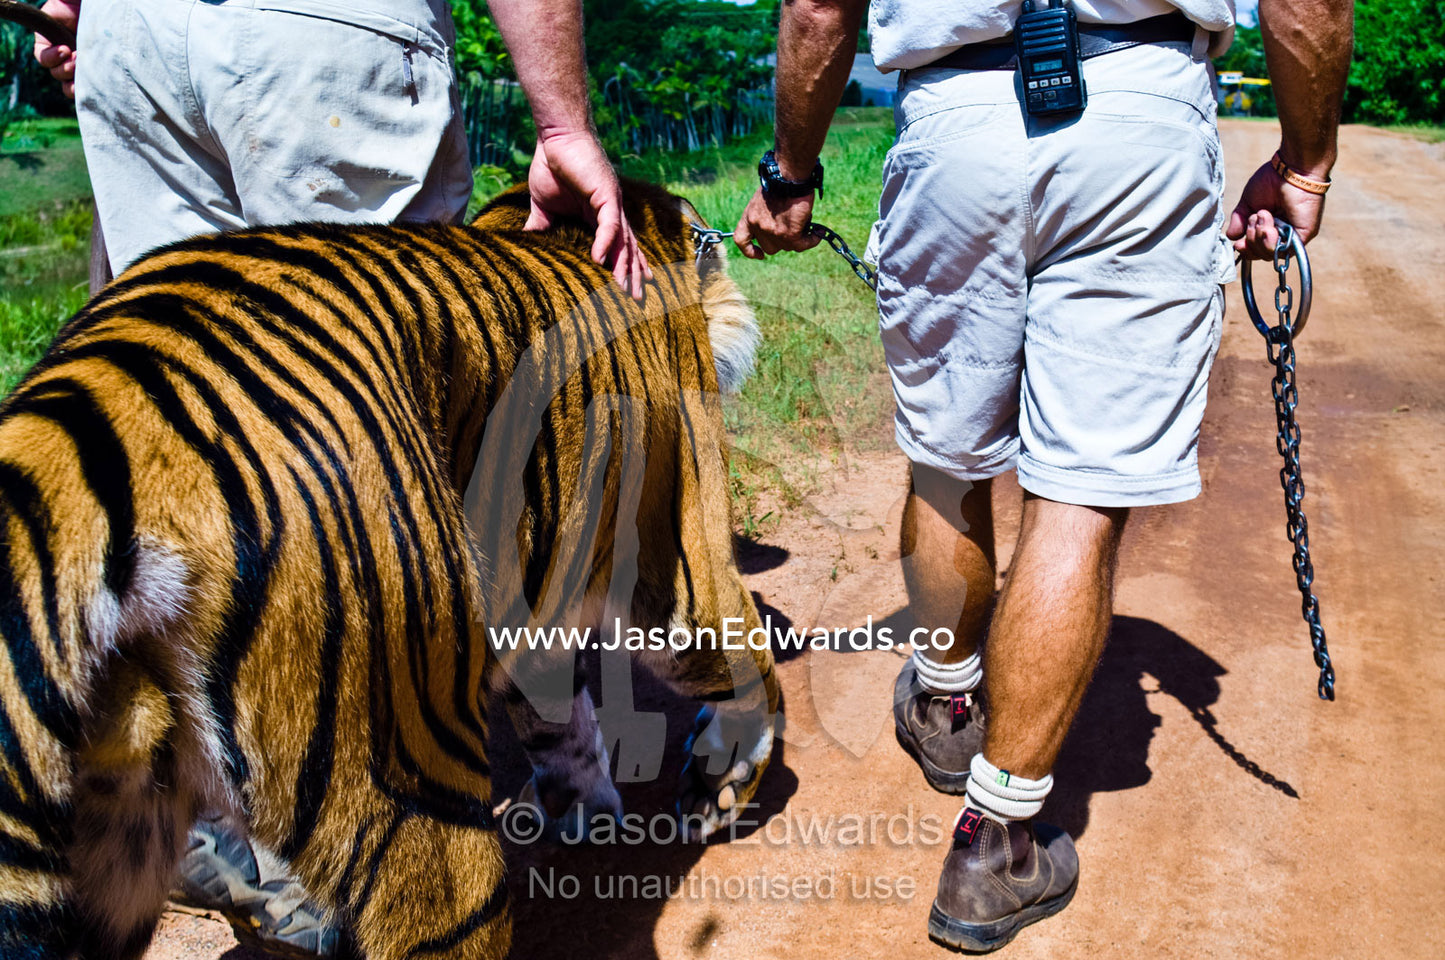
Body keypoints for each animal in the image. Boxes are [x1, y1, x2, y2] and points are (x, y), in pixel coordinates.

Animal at [0, 178, 781, 960]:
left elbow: (559, 721)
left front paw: (583, 809)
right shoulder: (679, 550)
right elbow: (746, 658)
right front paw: (722, 780)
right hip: (411, 786)